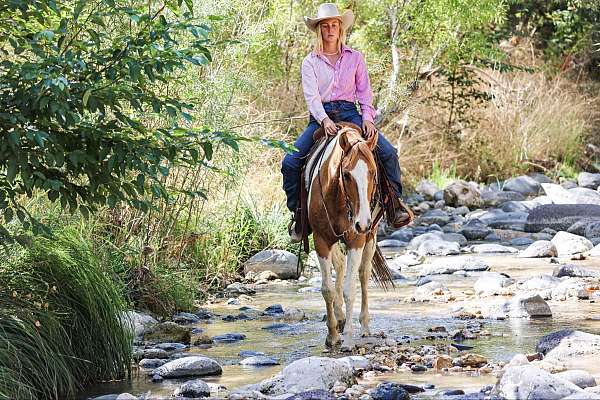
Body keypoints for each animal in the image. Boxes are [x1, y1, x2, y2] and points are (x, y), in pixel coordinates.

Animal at [304, 122, 390, 350]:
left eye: (373, 172)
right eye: (347, 175)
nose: (362, 223)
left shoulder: (356, 241)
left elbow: (350, 289)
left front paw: (349, 339)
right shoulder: (321, 240)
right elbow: (327, 289)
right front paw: (333, 335)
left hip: (370, 239)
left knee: (363, 275)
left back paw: (365, 326)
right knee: (340, 265)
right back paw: (340, 318)